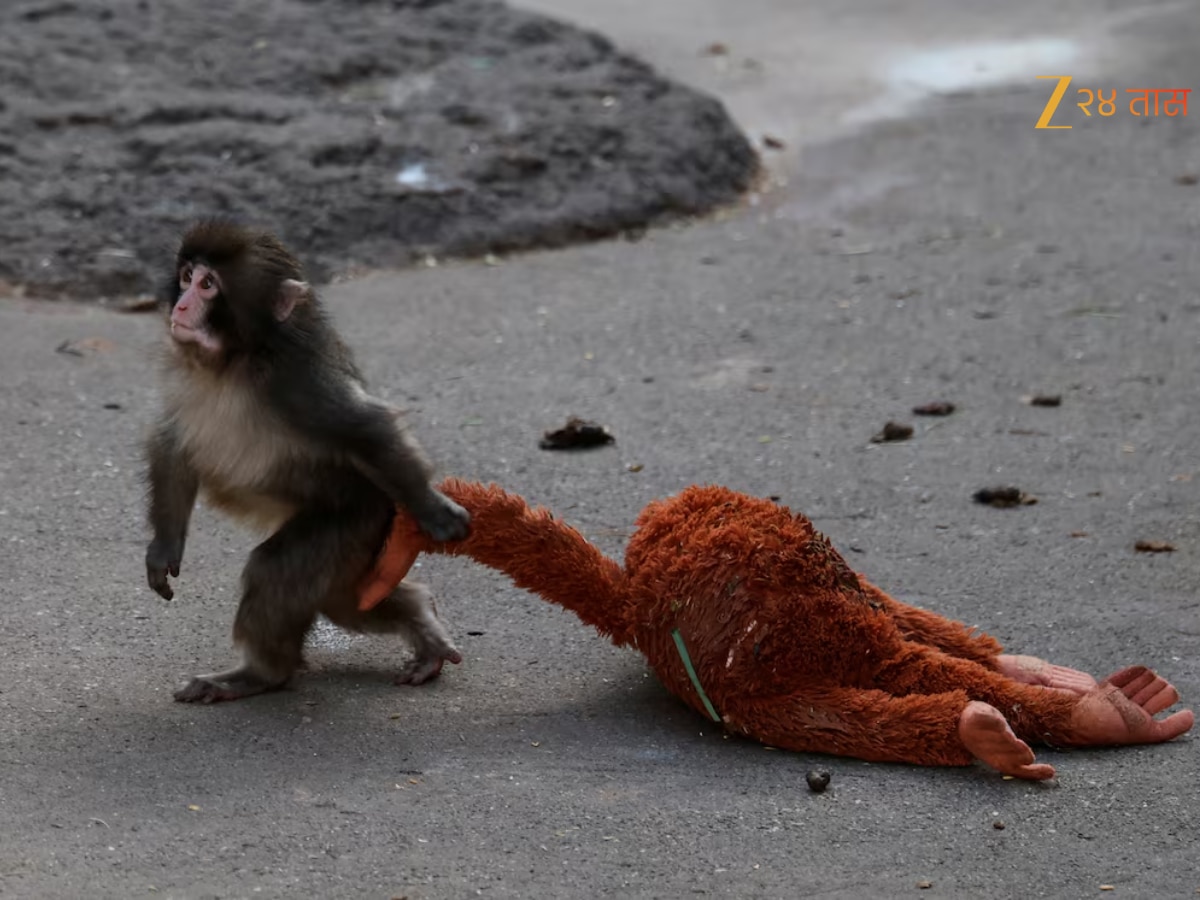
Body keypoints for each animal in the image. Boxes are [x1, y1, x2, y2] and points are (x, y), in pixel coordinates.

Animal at [145, 220, 470, 703]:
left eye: (208, 285)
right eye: (186, 277)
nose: (182, 305)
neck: (234, 361)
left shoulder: (299, 382)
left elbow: (367, 427)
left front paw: (434, 509)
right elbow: (172, 443)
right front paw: (164, 546)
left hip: (357, 518)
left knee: (279, 571)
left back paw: (261, 674)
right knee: (346, 600)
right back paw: (420, 616)